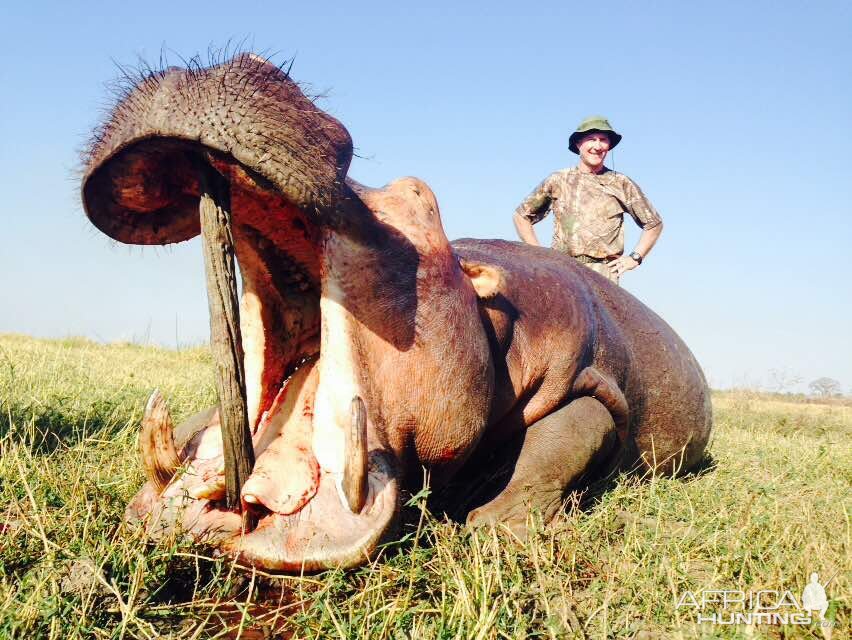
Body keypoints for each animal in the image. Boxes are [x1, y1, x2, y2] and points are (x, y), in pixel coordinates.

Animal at [83, 55, 712, 572]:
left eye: (418, 195)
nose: (232, 65)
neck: (487, 312)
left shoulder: (582, 375)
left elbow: (566, 434)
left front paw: (489, 527)